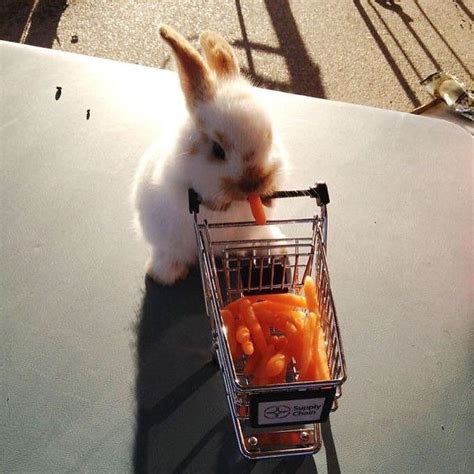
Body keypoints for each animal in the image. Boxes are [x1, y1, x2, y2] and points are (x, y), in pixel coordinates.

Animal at [133, 25, 288, 286]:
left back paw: (275, 248)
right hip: (166, 239)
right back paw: (165, 273)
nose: (254, 184)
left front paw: (265, 198)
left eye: (269, 136)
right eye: (218, 150)